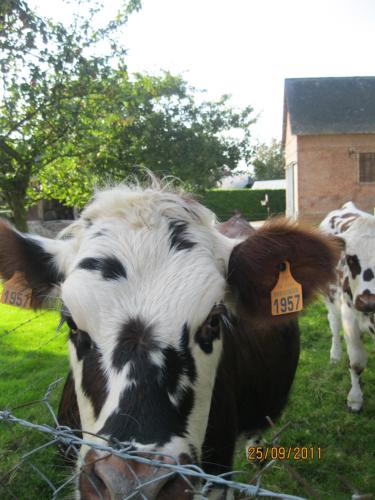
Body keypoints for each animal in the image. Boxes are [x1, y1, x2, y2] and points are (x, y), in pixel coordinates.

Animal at [320, 201, 375, 412]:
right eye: (351, 259)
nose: (367, 302)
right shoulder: (350, 319)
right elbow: (357, 363)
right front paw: (355, 399)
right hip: (331, 300)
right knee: (334, 325)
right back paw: (335, 355)